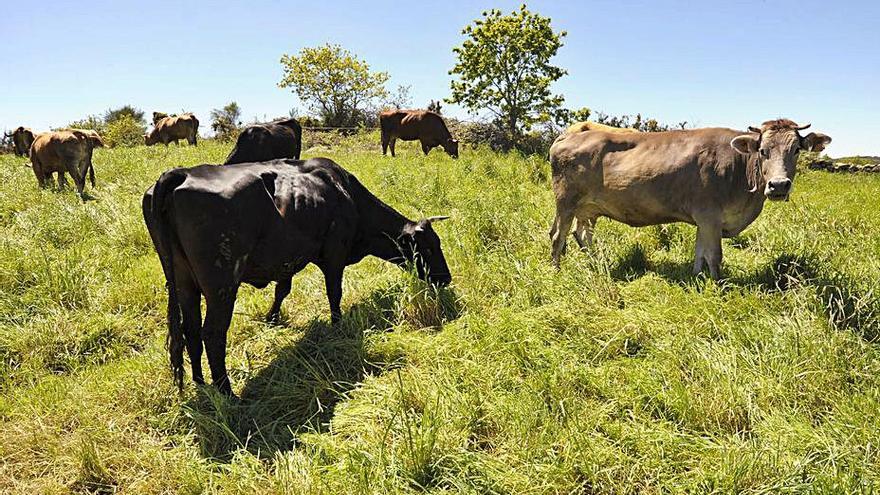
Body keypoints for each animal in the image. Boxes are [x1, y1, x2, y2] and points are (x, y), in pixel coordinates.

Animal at [143, 157, 454, 394]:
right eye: (429, 246)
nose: (446, 278)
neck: (345, 193)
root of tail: (183, 173)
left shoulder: (286, 259)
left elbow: (282, 290)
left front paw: (272, 318)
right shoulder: (334, 254)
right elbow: (334, 293)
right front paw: (337, 325)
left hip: (183, 282)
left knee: (191, 330)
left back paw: (199, 382)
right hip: (222, 286)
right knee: (212, 334)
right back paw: (227, 392)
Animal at [552, 119, 832, 280]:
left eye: (796, 150)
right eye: (763, 151)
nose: (779, 185)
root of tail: (569, 136)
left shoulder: (705, 220)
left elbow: (700, 253)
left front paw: (697, 278)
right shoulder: (710, 216)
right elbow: (715, 255)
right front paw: (718, 284)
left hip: (587, 208)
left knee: (580, 234)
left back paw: (596, 262)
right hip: (566, 202)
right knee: (558, 236)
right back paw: (556, 271)